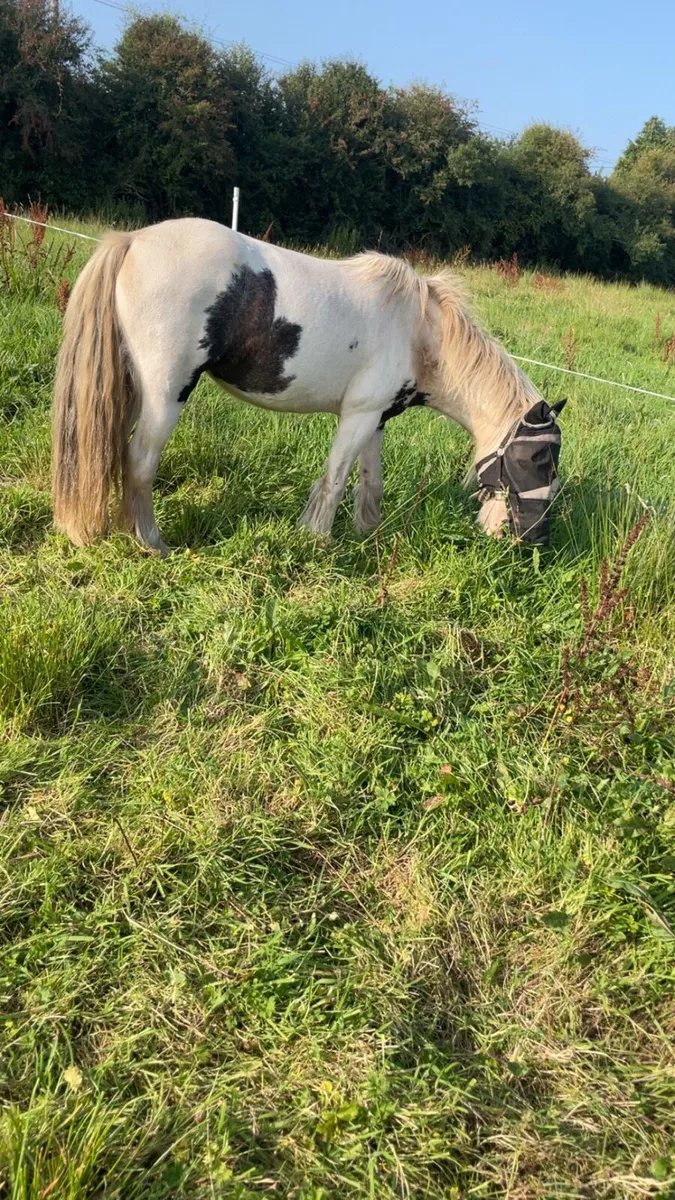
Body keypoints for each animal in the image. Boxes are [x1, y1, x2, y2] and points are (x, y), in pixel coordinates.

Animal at [51, 217, 564, 554]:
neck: (419, 330)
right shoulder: (357, 416)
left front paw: (367, 536)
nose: (531, 541)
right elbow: (334, 480)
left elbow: (370, 483)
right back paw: (152, 543)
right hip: (164, 395)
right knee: (139, 461)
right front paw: (318, 540)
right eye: (535, 460)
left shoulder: (375, 419)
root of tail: (134, 241)